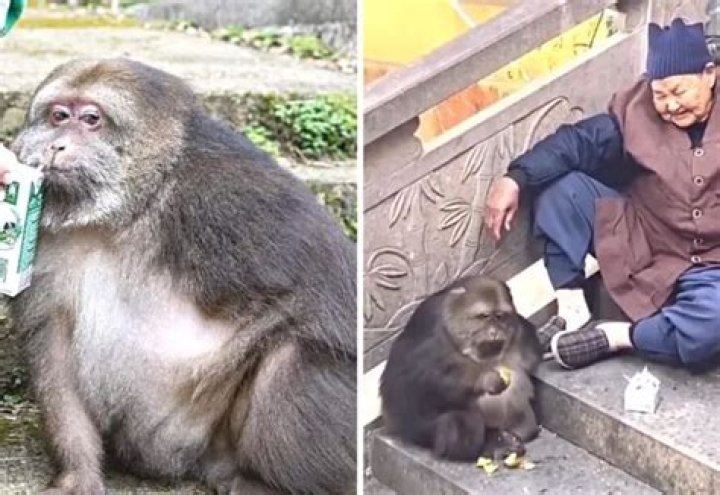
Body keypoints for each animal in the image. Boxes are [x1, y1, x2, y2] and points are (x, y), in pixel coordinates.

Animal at [9, 58, 356, 494]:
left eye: (91, 120)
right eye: (58, 116)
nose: (56, 145)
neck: (128, 210)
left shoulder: (226, 197)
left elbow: (334, 294)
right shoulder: (43, 234)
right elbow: (52, 340)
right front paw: (78, 475)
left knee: (293, 359)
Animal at [379, 275, 542, 462]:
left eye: (500, 316)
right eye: (483, 316)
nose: (494, 332)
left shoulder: (516, 327)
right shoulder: (430, 325)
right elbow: (411, 381)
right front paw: (485, 379)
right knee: (457, 421)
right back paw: (491, 444)